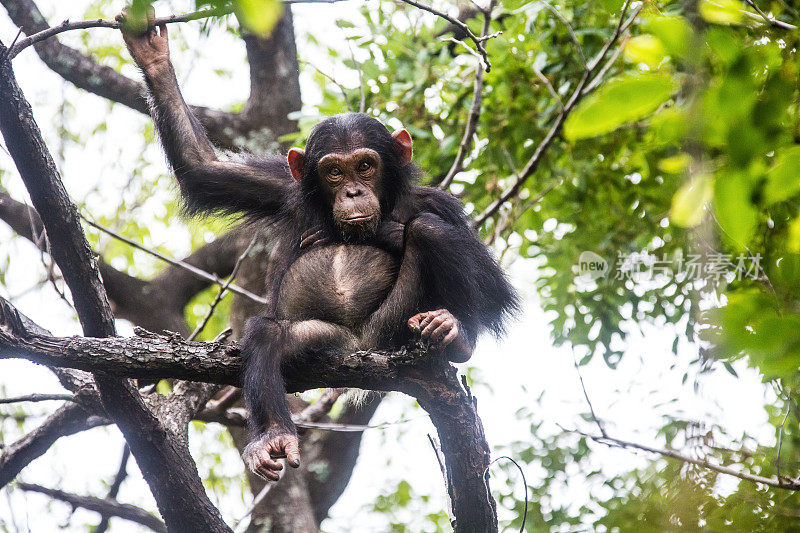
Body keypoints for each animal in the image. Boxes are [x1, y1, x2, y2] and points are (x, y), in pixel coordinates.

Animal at [119, 10, 520, 480]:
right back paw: (273, 435)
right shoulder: (282, 187)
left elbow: (494, 288)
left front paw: (387, 231)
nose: (351, 192)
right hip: (329, 341)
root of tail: (363, 348)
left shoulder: (440, 203)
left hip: (393, 327)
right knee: (268, 334)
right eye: (333, 172)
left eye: (365, 166)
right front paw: (152, 55)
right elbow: (203, 170)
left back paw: (456, 334)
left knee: (429, 231)